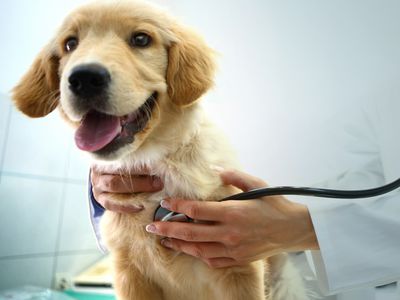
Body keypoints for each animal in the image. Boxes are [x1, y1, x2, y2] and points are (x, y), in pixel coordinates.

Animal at [11, 1, 306, 298]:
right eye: (70, 43)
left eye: (141, 39)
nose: (84, 78)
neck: (156, 161)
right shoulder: (129, 272)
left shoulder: (238, 268)